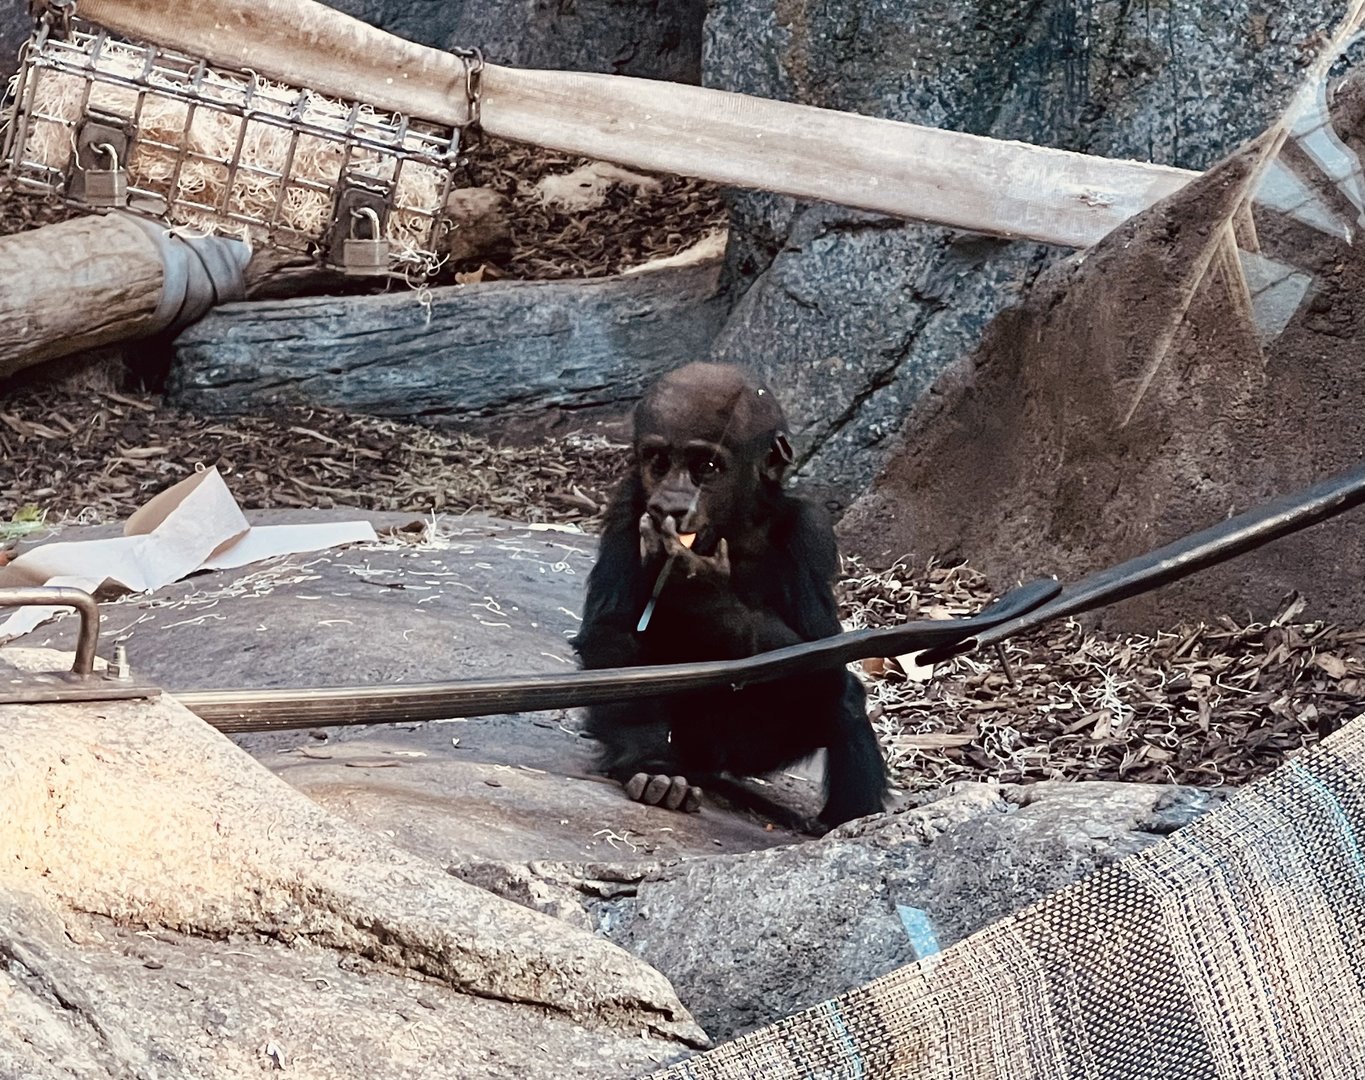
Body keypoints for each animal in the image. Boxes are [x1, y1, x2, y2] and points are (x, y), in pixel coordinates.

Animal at [572, 362, 888, 828]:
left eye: (706, 466)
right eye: (658, 462)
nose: (671, 505)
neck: (735, 522)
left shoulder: (812, 530)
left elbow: (823, 649)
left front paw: (704, 592)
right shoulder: (628, 506)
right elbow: (610, 634)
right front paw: (650, 763)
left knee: (840, 698)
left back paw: (847, 818)